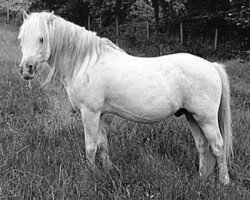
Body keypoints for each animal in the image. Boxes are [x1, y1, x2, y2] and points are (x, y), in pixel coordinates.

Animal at [17, 11, 232, 184]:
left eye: (41, 39)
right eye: (21, 38)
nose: (26, 69)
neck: (86, 63)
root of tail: (212, 66)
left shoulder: (90, 113)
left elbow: (90, 147)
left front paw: (90, 174)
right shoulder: (100, 114)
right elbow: (102, 144)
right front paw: (107, 170)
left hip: (206, 119)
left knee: (218, 146)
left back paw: (223, 181)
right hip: (191, 116)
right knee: (202, 145)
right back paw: (201, 177)